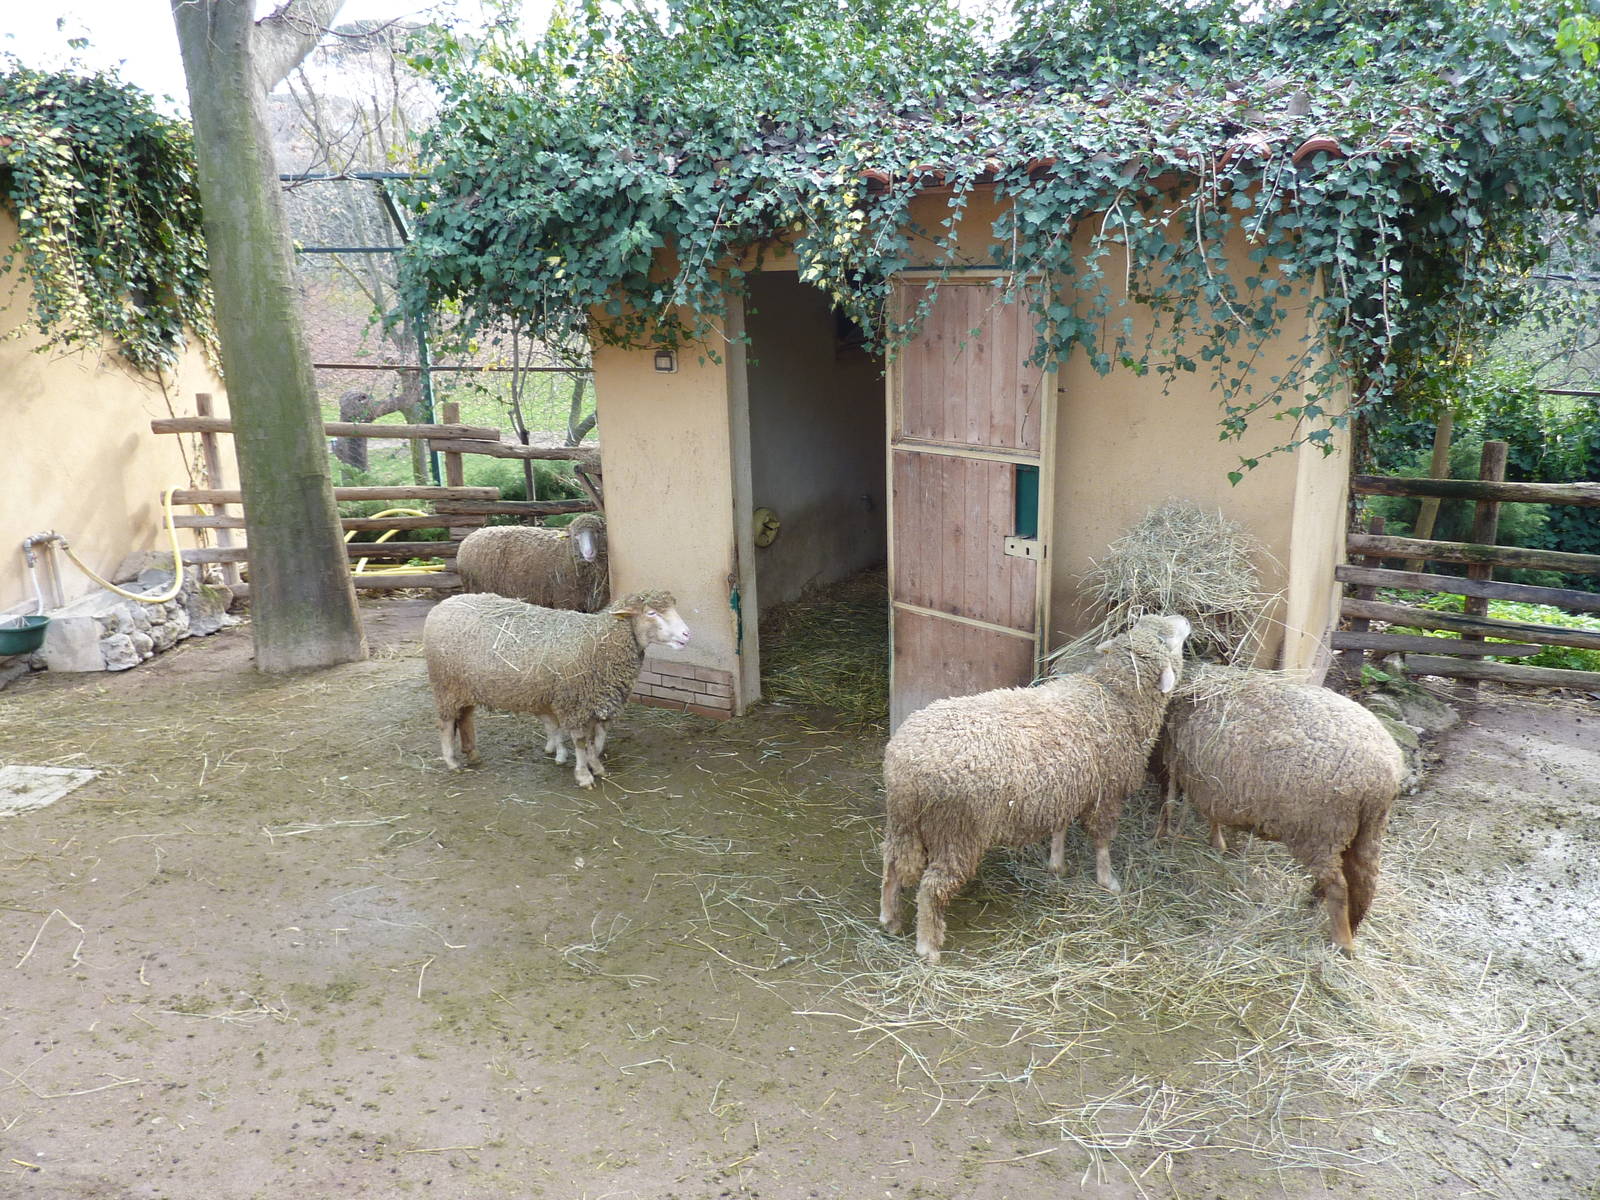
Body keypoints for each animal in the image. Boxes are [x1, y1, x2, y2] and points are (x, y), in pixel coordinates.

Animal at [423, 587, 690, 788]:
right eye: (652, 612)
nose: (687, 634)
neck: (599, 643)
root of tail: (441, 605)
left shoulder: (590, 703)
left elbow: (591, 740)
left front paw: (597, 766)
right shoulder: (575, 702)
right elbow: (580, 741)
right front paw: (584, 775)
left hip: (464, 686)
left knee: (465, 718)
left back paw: (473, 754)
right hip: (445, 685)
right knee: (446, 723)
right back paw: (452, 762)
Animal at [455, 513, 609, 612]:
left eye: (597, 532)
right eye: (576, 535)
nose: (589, 553)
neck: (565, 551)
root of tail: (468, 539)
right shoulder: (565, 600)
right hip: (477, 587)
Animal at [879, 613, 1192, 963]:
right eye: (1165, 640)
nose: (1183, 619)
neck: (1113, 696)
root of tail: (906, 767)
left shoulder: (1066, 787)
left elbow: (1060, 828)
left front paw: (1057, 865)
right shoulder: (1107, 794)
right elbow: (1102, 841)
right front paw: (1108, 880)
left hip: (903, 823)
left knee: (891, 865)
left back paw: (889, 919)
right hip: (957, 831)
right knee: (932, 887)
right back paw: (928, 946)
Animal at [1154, 665, 1405, 956]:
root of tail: (1381, 778)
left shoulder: (1177, 763)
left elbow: (1170, 802)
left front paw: (1163, 836)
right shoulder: (1211, 785)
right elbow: (1211, 815)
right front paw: (1217, 844)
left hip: (1318, 831)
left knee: (1338, 885)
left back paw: (1341, 941)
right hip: (1367, 827)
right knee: (1364, 878)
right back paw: (1343, 920)